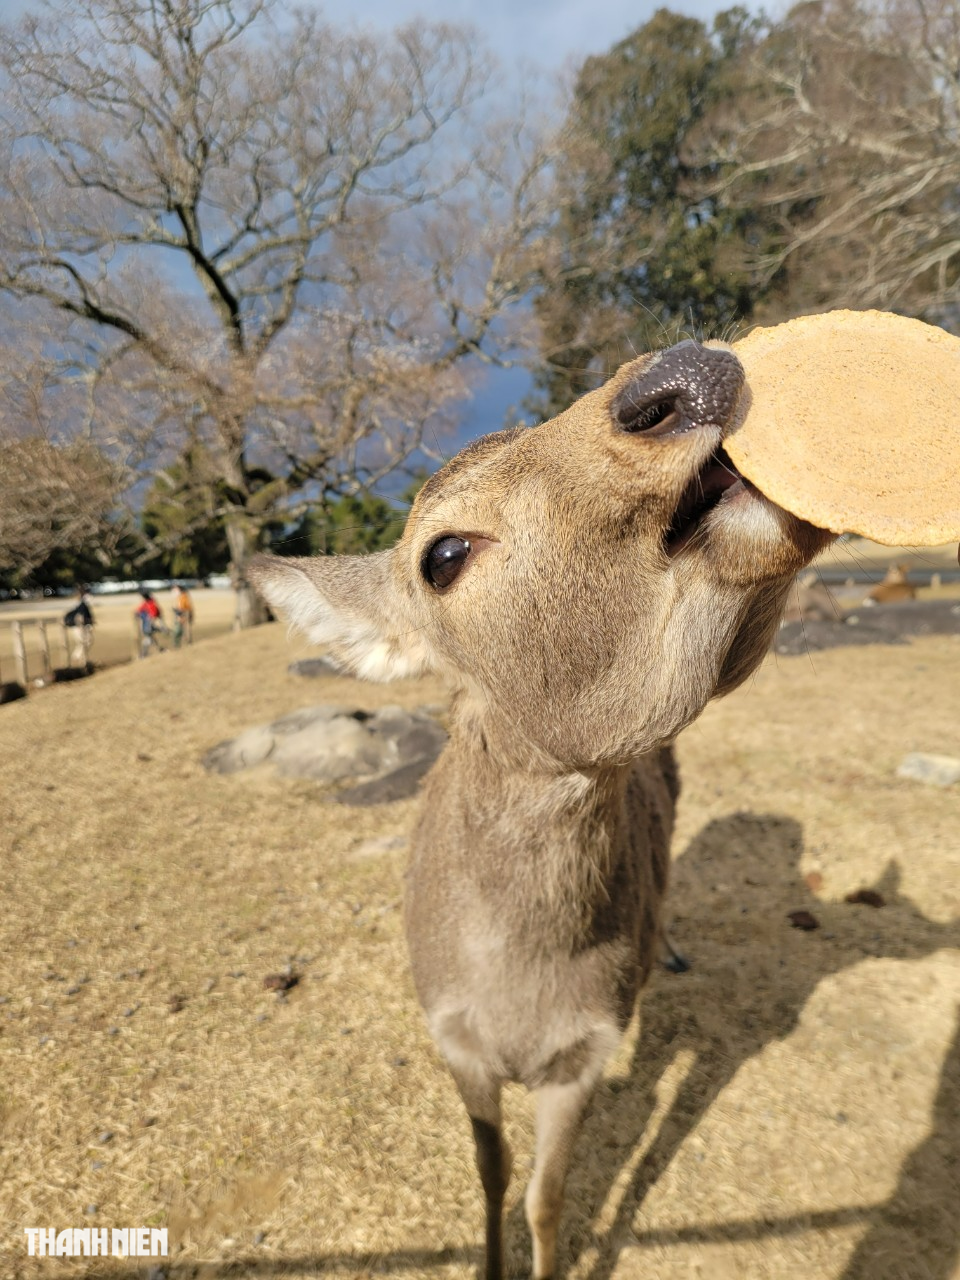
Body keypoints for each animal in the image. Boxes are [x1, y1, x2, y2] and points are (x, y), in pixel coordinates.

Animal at [248, 340, 834, 1280]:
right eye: (442, 554)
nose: (684, 370)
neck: (522, 993)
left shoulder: (586, 1053)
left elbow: (547, 1195)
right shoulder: (452, 1039)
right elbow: (491, 1173)